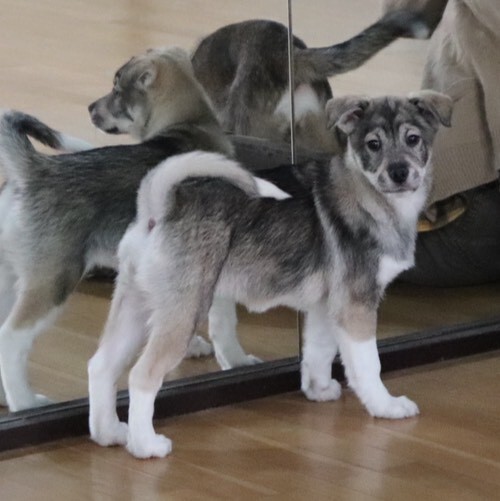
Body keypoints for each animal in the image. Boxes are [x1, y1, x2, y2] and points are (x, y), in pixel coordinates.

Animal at [0, 46, 288, 412]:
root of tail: (32, 170)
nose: (90, 108)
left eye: (116, 89)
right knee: (11, 338)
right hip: (52, 281)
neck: (189, 125)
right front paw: (235, 362)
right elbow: (224, 325)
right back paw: (24, 402)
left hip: (10, 277)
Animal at [88, 90, 453, 458]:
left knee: (101, 366)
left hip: (136, 308)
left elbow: (318, 351)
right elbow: (368, 365)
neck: (368, 194)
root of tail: (157, 209)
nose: (399, 172)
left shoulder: (326, 308)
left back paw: (109, 433)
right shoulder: (357, 307)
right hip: (182, 314)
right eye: (373, 144)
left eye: (413, 139)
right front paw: (386, 406)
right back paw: (146, 445)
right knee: (142, 376)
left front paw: (318, 390)